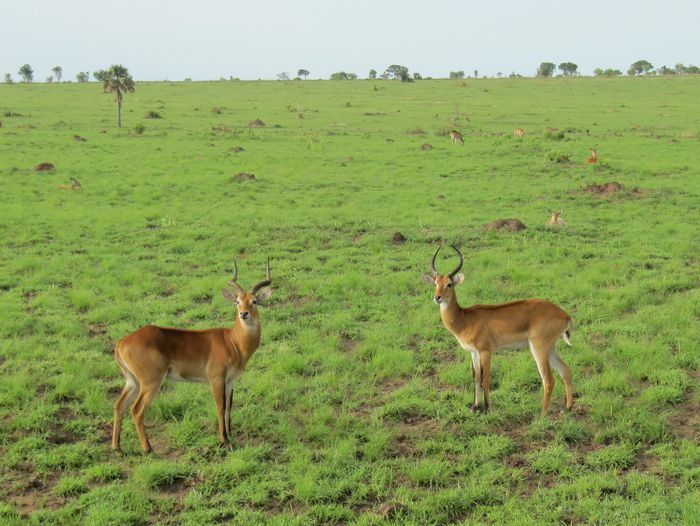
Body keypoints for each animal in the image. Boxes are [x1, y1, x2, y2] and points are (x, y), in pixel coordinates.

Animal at [110, 258, 272, 454]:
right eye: (237, 301)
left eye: (254, 301)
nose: (243, 314)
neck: (232, 341)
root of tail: (121, 342)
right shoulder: (216, 379)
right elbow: (220, 407)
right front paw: (224, 440)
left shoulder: (230, 380)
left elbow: (229, 407)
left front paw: (231, 436)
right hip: (150, 382)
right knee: (136, 409)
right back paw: (148, 449)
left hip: (132, 381)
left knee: (119, 405)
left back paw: (117, 447)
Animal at [422, 248, 576, 416]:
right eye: (435, 283)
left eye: (449, 284)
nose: (437, 297)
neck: (465, 318)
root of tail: (565, 314)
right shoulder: (474, 353)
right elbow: (476, 377)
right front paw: (475, 406)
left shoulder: (486, 351)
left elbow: (485, 379)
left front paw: (487, 408)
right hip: (551, 348)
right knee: (566, 370)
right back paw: (568, 407)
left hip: (539, 349)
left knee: (548, 380)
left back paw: (541, 415)